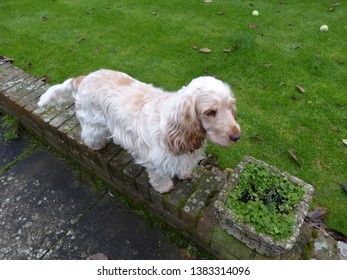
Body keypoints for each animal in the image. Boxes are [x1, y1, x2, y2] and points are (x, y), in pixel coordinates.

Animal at [36, 69, 241, 192]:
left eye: (230, 107)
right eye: (210, 112)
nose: (237, 136)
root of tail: (85, 77)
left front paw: (185, 174)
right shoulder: (154, 159)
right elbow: (159, 175)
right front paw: (164, 187)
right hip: (93, 125)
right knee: (89, 136)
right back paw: (98, 146)